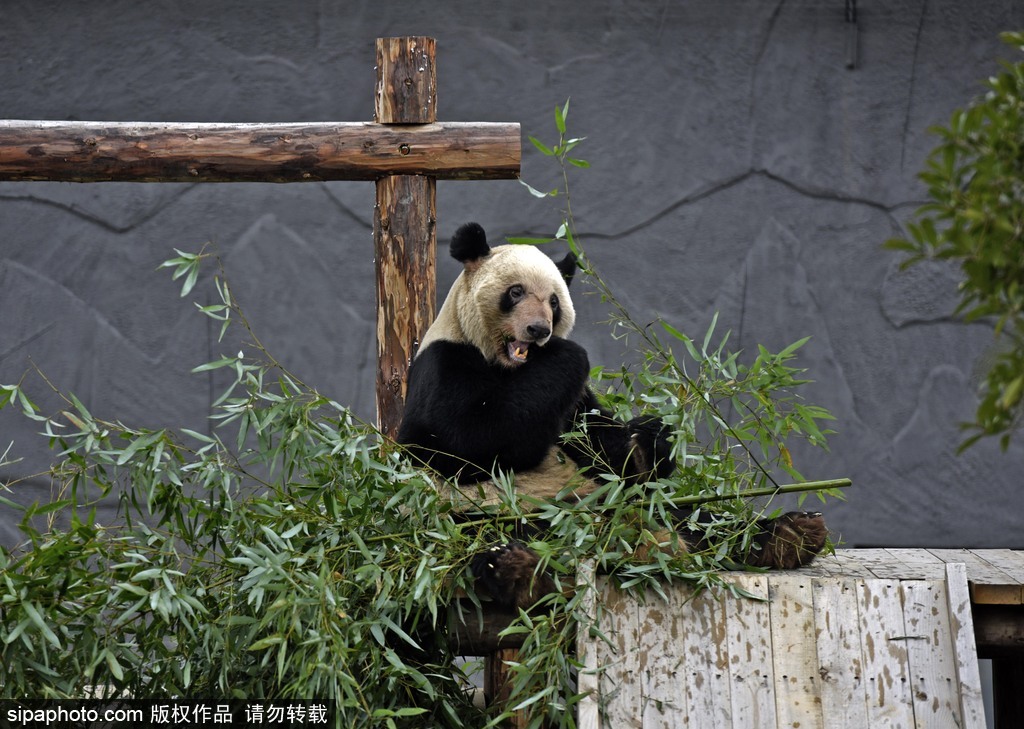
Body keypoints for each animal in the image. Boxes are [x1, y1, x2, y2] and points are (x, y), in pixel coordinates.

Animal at [395, 225, 827, 610]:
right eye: (515, 292)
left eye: (554, 301)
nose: (539, 330)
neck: (511, 368)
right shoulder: (444, 364)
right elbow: (465, 442)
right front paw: (568, 354)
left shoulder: (573, 403)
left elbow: (610, 453)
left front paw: (649, 439)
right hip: (485, 515)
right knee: (500, 535)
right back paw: (517, 570)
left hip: (633, 506)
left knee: (694, 516)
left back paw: (790, 535)